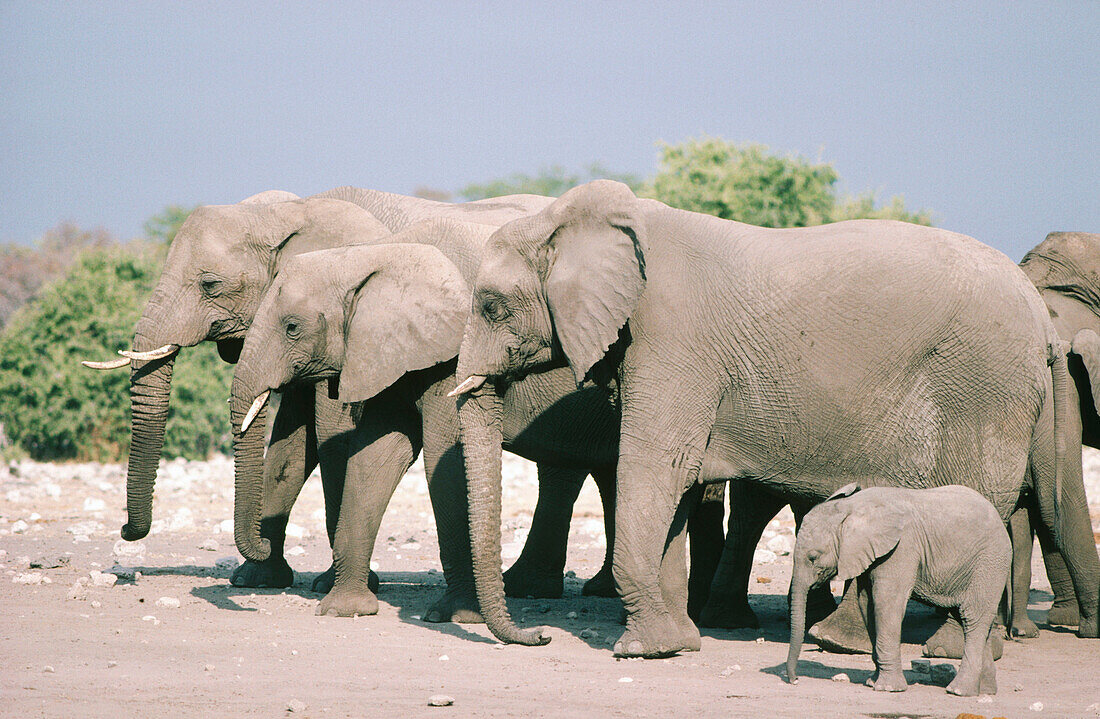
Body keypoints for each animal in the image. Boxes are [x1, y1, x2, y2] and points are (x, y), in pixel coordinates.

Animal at [448, 180, 1100, 659]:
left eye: (491, 306)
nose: (539, 637)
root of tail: (1040, 316)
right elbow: (676, 484)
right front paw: (679, 643)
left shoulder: (674, 341)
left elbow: (657, 466)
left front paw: (644, 651)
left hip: (987, 387)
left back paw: (938, 650)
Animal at [787, 483, 1007, 699]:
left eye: (813, 557)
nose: (794, 680)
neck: (852, 507)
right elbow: (867, 604)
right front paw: (872, 682)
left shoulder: (901, 548)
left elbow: (887, 603)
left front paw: (887, 688)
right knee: (970, 621)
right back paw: (985, 690)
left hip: (989, 564)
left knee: (973, 618)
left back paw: (958, 691)